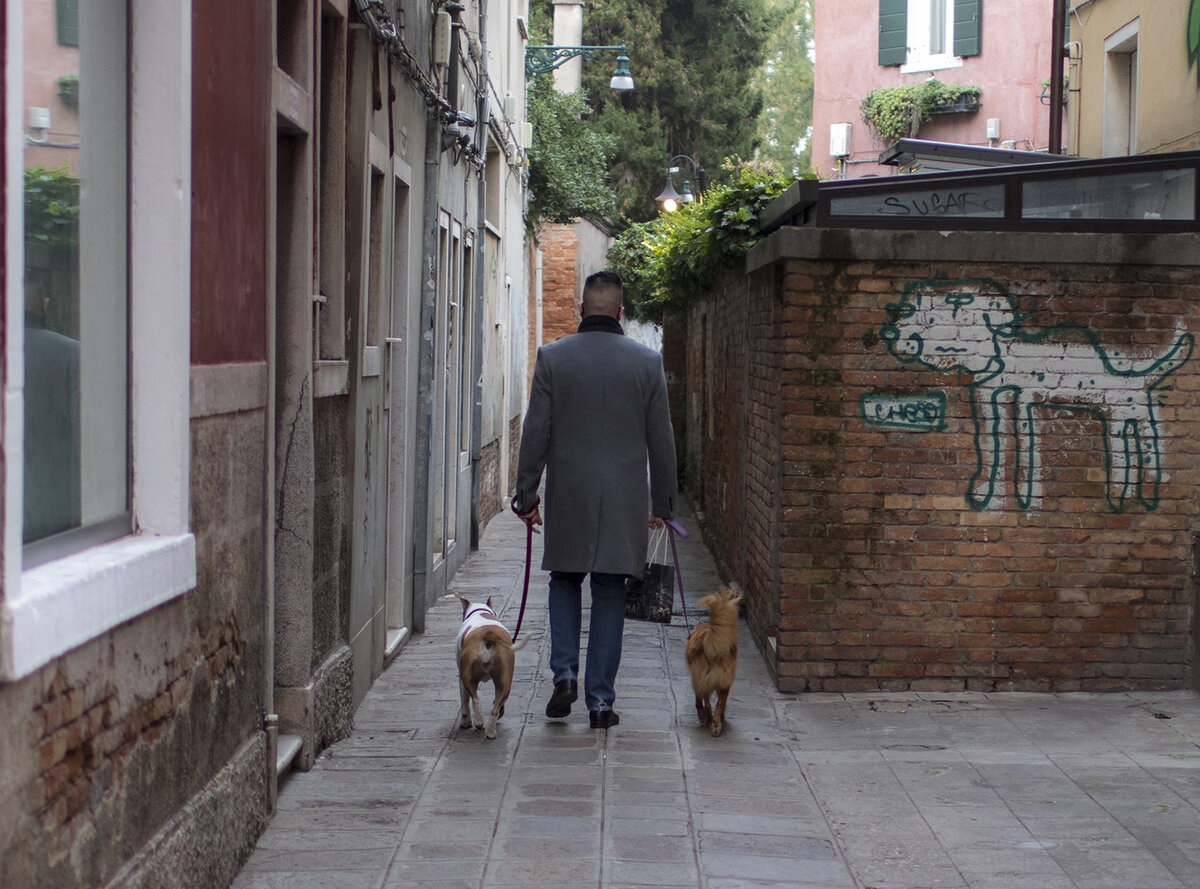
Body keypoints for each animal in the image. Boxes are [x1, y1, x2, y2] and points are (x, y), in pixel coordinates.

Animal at [456, 599, 528, 739]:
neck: (480, 611)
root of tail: (488, 634)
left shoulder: (461, 677)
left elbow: (464, 700)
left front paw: (465, 722)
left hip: (468, 677)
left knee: (475, 699)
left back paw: (479, 723)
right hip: (505, 682)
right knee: (494, 708)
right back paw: (491, 732)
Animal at [686, 583, 739, 734]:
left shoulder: (697, 679)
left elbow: (699, 700)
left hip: (706, 679)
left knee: (709, 703)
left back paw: (710, 720)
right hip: (723, 681)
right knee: (718, 703)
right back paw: (716, 723)